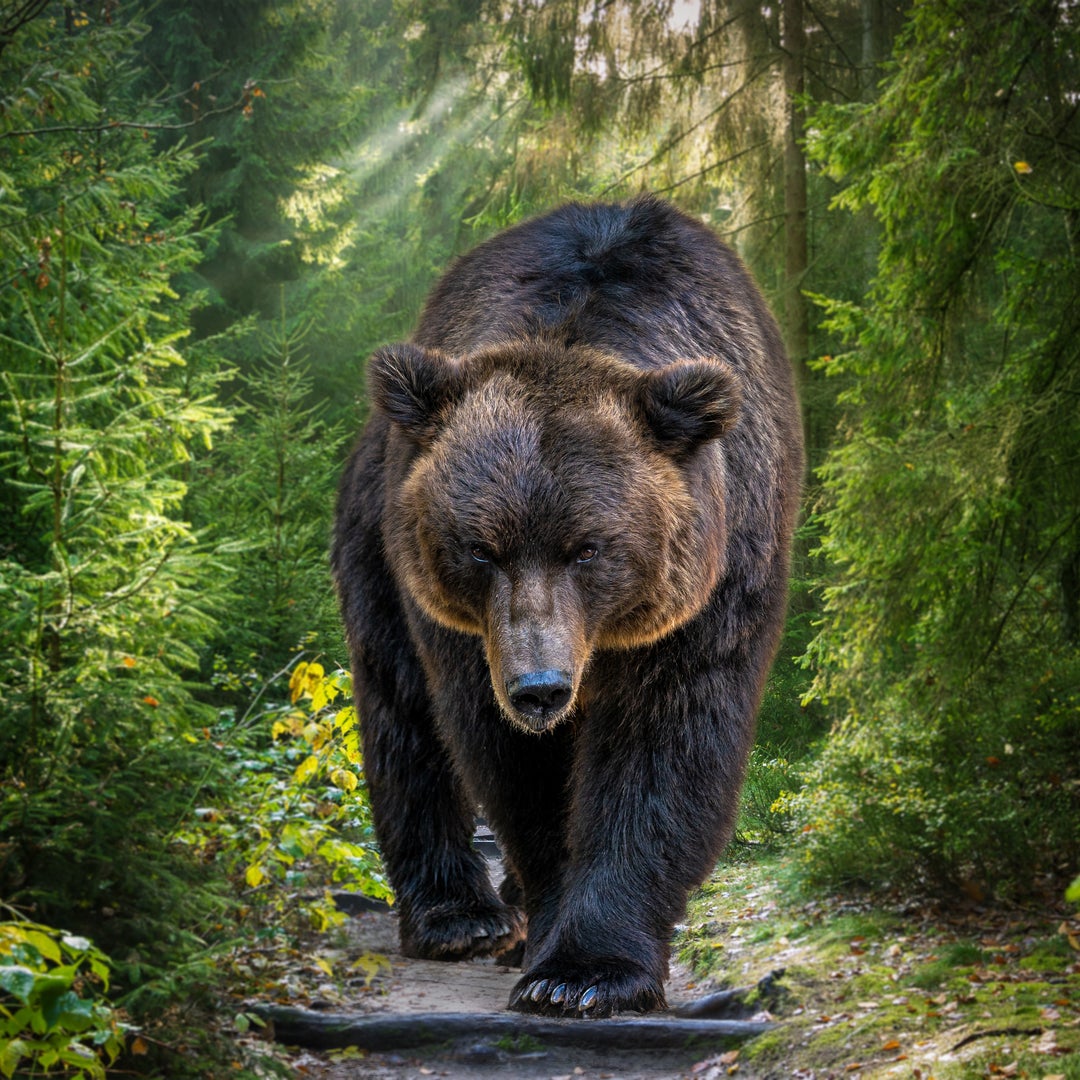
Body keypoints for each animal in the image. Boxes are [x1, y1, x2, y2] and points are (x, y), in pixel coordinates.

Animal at [332, 195, 803, 1018]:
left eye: (588, 547)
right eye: (480, 548)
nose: (540, 688)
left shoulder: (710, 584)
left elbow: (663, 746)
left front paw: (586, 972)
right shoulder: (470, 630)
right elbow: (512, 764)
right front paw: (552, 942)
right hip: (377, 545)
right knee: (403, 712)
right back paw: (461, 918)